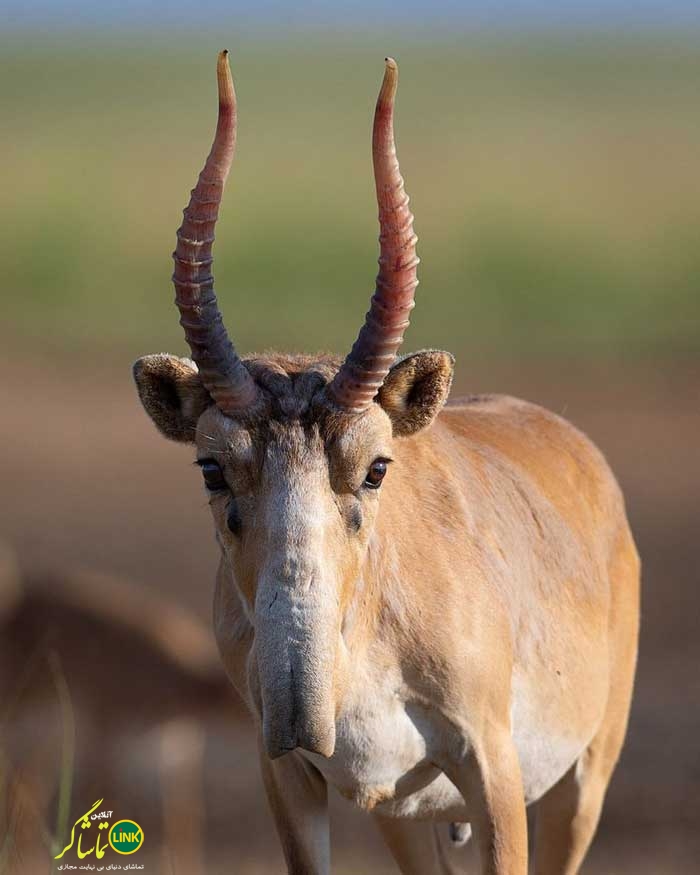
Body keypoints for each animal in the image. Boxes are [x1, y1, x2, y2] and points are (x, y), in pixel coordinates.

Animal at [133, 51, 640, 872]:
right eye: (212, 466)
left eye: (375, 466)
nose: (301, 713)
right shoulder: (293, 777)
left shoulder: (493, 771)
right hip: (408, 820)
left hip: (583, 779)